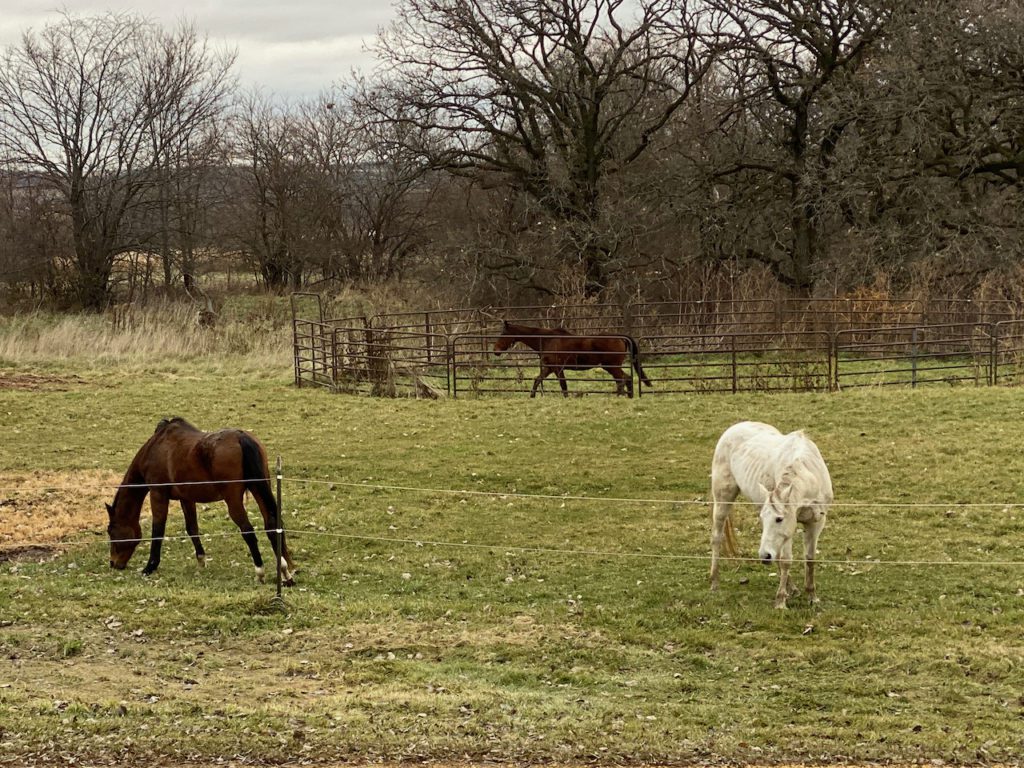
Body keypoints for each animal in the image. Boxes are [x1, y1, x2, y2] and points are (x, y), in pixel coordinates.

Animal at [104, 417, 296, 585]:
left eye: (111, 531)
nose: (113, 563)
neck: (156, 448)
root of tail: (241, 438)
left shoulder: (158, 494)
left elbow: (158, 530)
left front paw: (150, 566)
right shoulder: (186, 499)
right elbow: (192, 529)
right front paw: (201, 560)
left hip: (233, 501)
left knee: (248, 531)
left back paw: (260, 572)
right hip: (259, 490)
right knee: (272, 524)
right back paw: (285, 572)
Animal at [491, 321, 651, 399]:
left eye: (503, 333)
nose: (495, 350)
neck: (546, 340)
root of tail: (621, 337)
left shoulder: (557, 368)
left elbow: (563, 385)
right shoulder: (548, 368)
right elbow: (537, 380)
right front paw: (532, 396)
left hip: (612, 366)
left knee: (622, 380)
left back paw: (620, 396)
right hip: (611, 367)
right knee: (625, 379)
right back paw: (628, 396)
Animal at [712, 421, 831, 606]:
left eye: (779, 519)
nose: (764, 556)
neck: (810, 477)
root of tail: (734, 427)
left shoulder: (816, 522)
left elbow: (810, 558)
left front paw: (812, 596)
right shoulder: (791, 526)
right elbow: (786, 560)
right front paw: (781, 601)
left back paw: (793, 588)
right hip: (723, 499)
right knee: (717, 537)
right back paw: (714, 582)